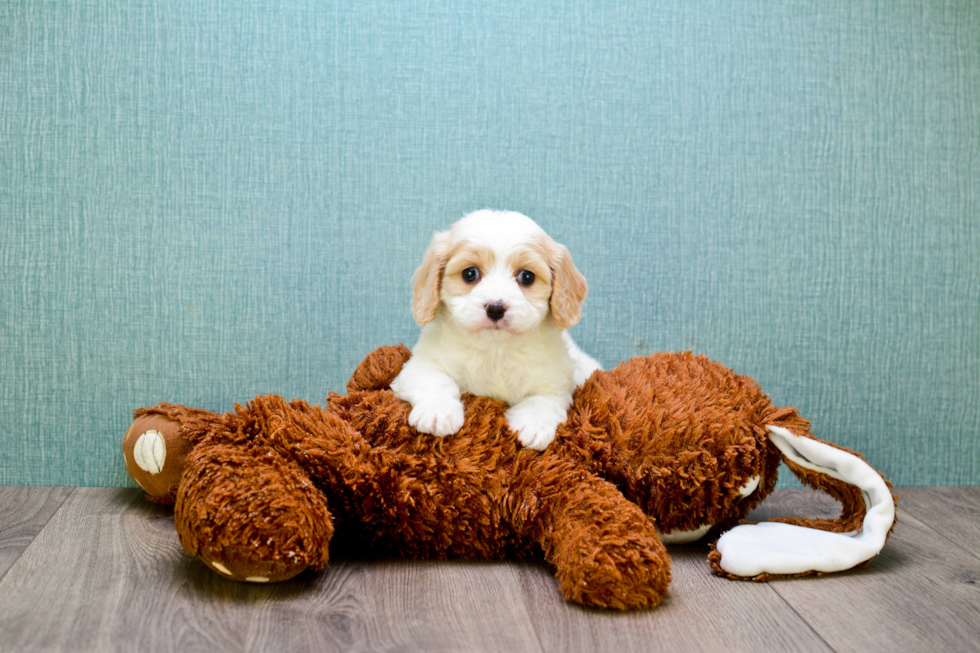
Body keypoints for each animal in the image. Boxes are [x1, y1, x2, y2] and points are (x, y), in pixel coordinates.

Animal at [388, 211, 600, 450]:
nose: (496, 308)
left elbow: (543, 401)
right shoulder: (420, 365)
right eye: (470, 273)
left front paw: (533, 425)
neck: (495, 349)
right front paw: (437, 412)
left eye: (527, 277)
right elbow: (436, 380)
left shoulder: (556, 383)